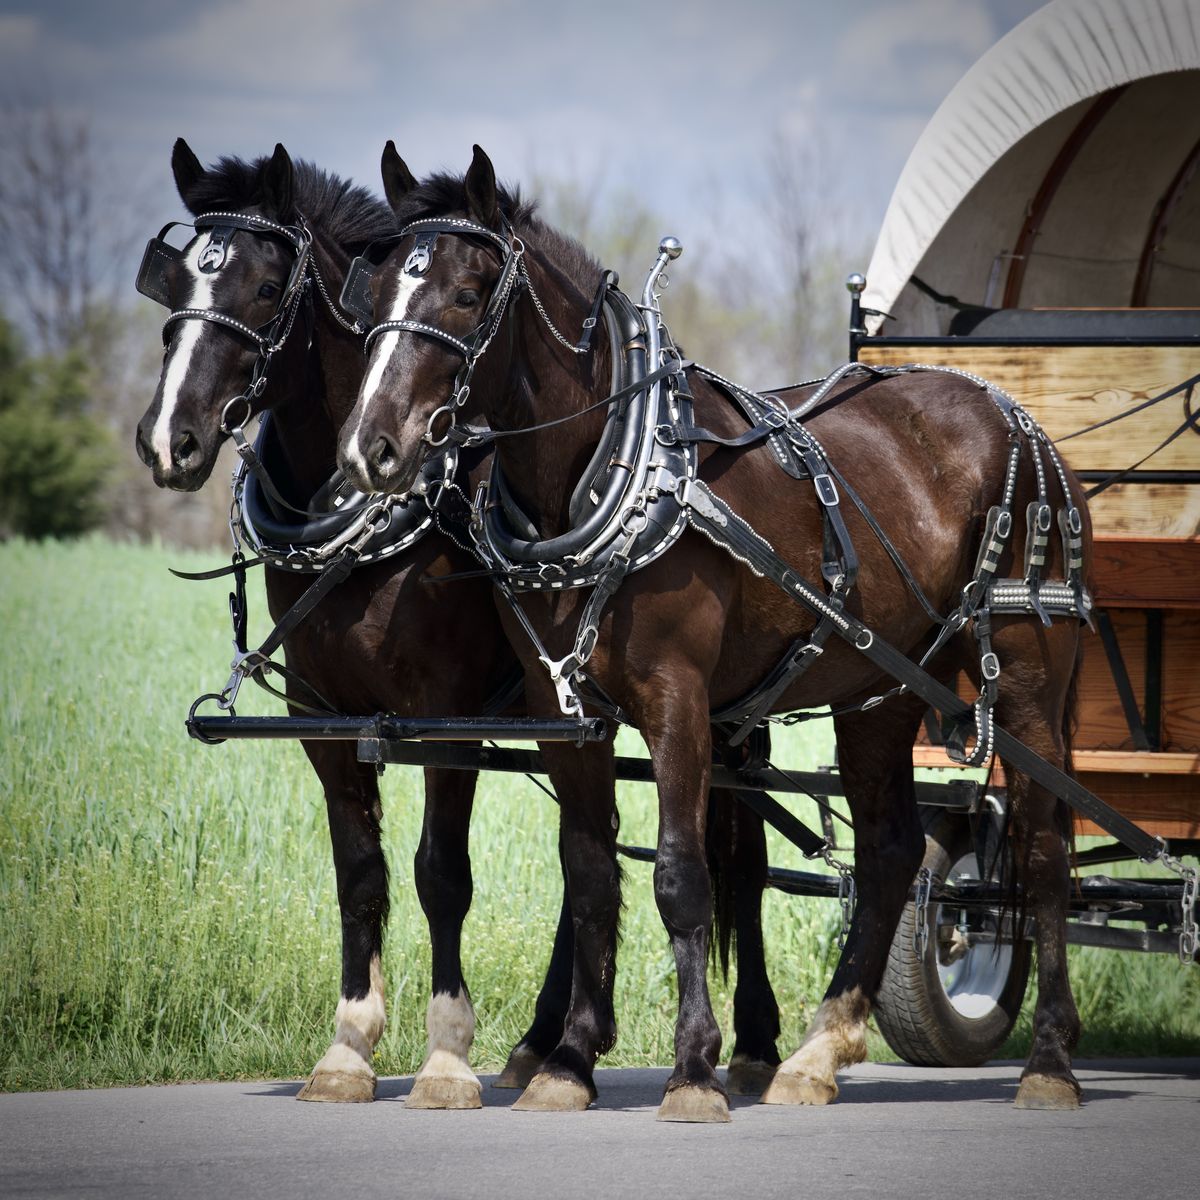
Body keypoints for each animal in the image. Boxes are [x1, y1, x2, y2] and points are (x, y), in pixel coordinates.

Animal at [133, 142, 785, 1107]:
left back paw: (756, 1043)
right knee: (591, 860)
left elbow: (441, 875)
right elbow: (360, 876)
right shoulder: (322, 719)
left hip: (727, 715)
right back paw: (546, 1040)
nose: (167, 439)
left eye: (264, 286)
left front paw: (444, 1056)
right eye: (176, 282)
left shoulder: (445, 718)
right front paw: (349, 1047)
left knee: (739, 859)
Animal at [337, 145, 1091, 1121]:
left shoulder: (679, 702)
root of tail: (1013, 414)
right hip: (881, 687)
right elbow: (590, 876)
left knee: (1042, 853)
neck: (613, 466)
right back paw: (818, 1051)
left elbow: (680, 877)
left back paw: (1049, 1060)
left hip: (1030, 672)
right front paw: (567, 1061)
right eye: (377, 286)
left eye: (468, 293)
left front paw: (694, 1067)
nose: (371, 448)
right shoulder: (565, 714)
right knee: (891, 852)